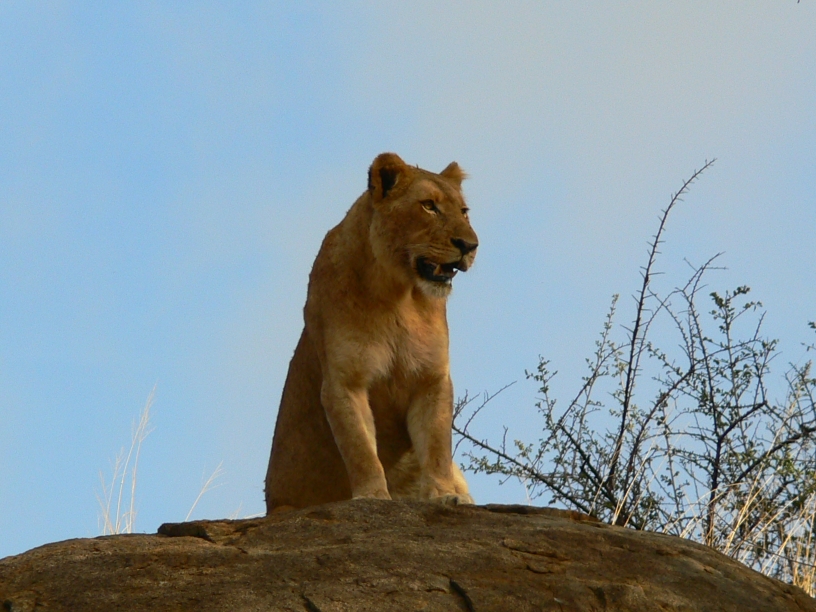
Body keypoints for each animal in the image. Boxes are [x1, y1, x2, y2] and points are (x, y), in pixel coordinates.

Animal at [264, 152, 478, 512]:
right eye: (429, 206)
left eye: (463, 211)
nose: (469, 245)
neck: (399, 296)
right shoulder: (344, 381)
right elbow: (361, 449)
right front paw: (373, 498)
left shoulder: (431, 378)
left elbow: (436, 447)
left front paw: (444, 495)